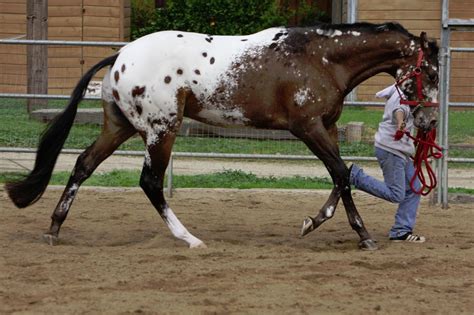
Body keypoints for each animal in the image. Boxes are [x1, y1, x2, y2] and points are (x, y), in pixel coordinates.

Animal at [5, 22, 438, 251]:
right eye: (430, 72)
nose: (428, 121)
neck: (321, 59)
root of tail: (121, 56)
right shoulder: (308, 128)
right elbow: (341, 174)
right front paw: (363, 235)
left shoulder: (326, 128)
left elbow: (342, 175)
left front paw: (313, 223)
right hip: (161, 129)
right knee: (150, 181)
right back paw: (190, 238)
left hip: (120, 126)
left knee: (82, 166)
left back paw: (54, 229)